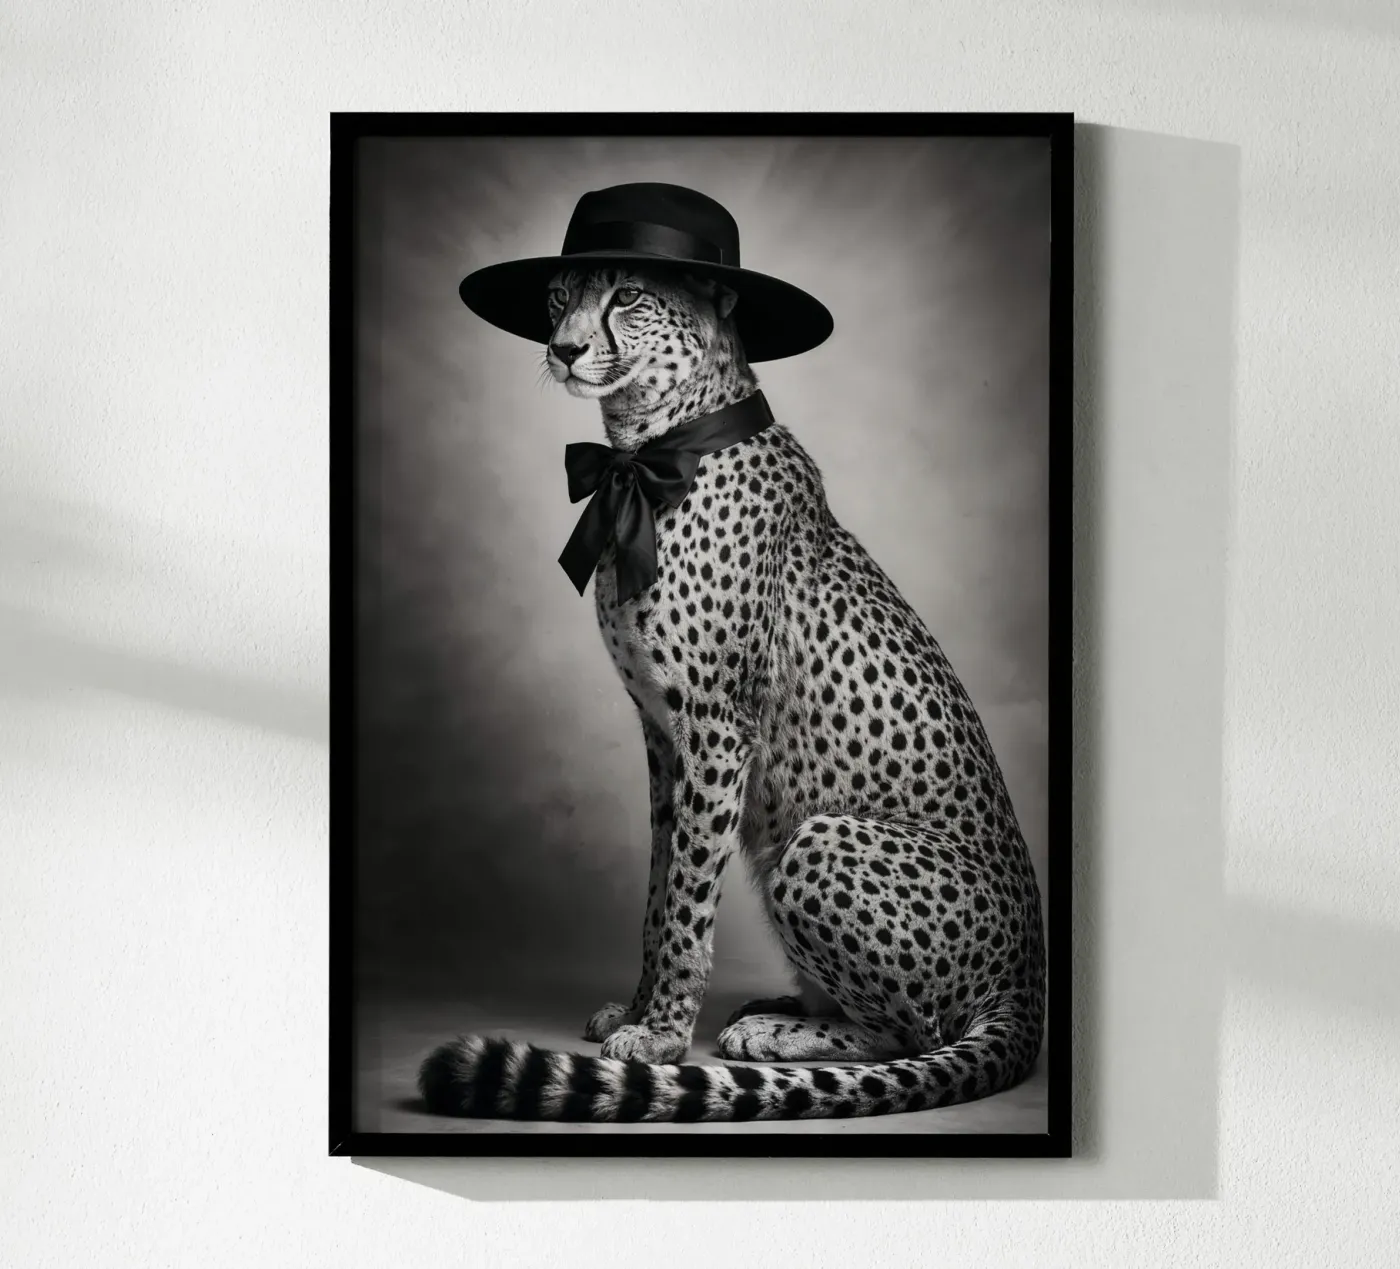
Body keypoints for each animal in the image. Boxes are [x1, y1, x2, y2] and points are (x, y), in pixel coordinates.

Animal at [419, 263, 1047, 1122]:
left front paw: (662, 1036)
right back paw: (782, 1006)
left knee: (910, 1034)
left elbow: (688, 899)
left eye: (629, 294)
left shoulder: (716, 729)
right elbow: (660, 886)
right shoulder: (661, 735)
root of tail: (1030, 984)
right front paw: (640, 1008)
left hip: (819, 840)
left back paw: (777, 1032)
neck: (650, 454)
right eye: (558, 292)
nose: (564, 348)